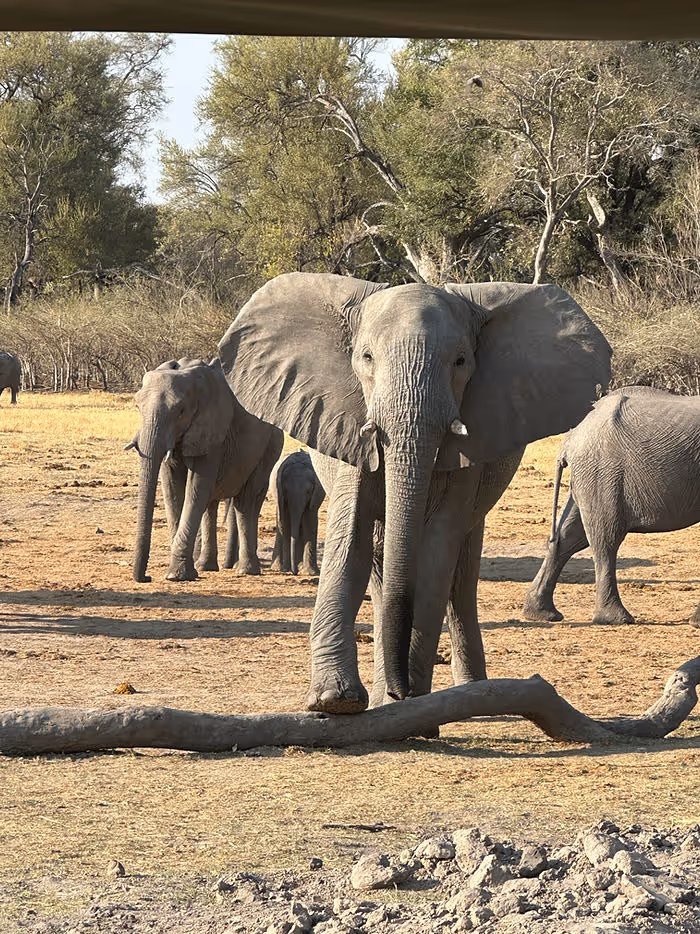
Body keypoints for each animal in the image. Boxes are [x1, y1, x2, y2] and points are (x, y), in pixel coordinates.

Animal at [125, 356, 283, 583]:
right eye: (138, 406)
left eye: (180, 412)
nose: (146, 578)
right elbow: (173, 490)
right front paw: (183, 571)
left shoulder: (213, 430)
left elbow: (196, 488)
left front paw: (177, 576)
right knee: (211, 504)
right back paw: (206, 566)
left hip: (271, 444)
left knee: (245, 500)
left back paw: (246, 570)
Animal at [218, 272, 611, 714]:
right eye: (366, 358)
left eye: (461, 361)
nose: (399, 689)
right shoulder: (350, 427)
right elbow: (350, 541)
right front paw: (336, 700)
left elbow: (437, 553)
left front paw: (415, 703)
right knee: (379, 562)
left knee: (460, 571)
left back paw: (468, 692)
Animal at [523, 385, 700, 627]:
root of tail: (571, 437)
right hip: (603, 472)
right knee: (605, 539)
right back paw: (616, 619)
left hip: (590, 476)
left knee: (569, 536)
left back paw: (542, 614)